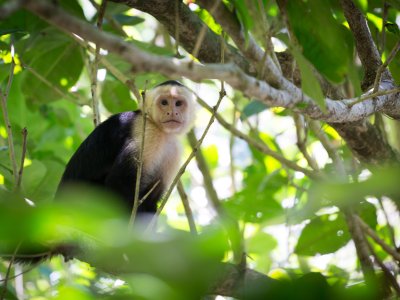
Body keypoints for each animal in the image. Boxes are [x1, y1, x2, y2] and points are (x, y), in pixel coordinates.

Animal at [58, 80, 196, 213]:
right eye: (164, 102)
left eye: (178, 103)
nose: (172, 112)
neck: (161, 131)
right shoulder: (148, 134)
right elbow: (118, 184)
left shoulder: (175, 150)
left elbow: (152, 199)